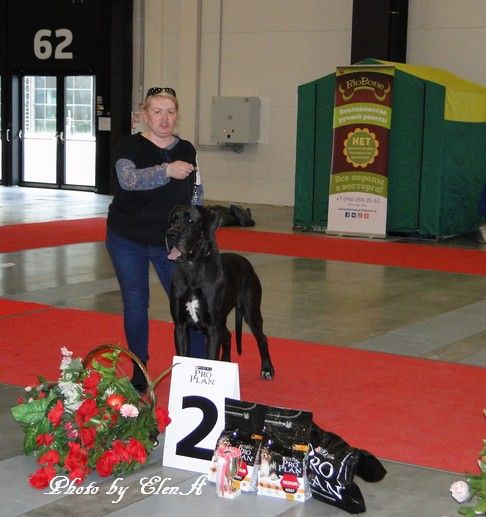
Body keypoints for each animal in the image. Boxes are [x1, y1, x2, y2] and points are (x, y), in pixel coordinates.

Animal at [166, 205, 274, 379]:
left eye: (190, 221)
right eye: (173, 220)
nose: (171, 234)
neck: (192, 268)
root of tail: (247, 264)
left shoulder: (212, 329)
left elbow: (210, 358)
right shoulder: (181, 327)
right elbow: (183, 354)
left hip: (250, 312)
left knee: (262, 338)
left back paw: (267, 369)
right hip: (222, 319)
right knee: (228, 336)